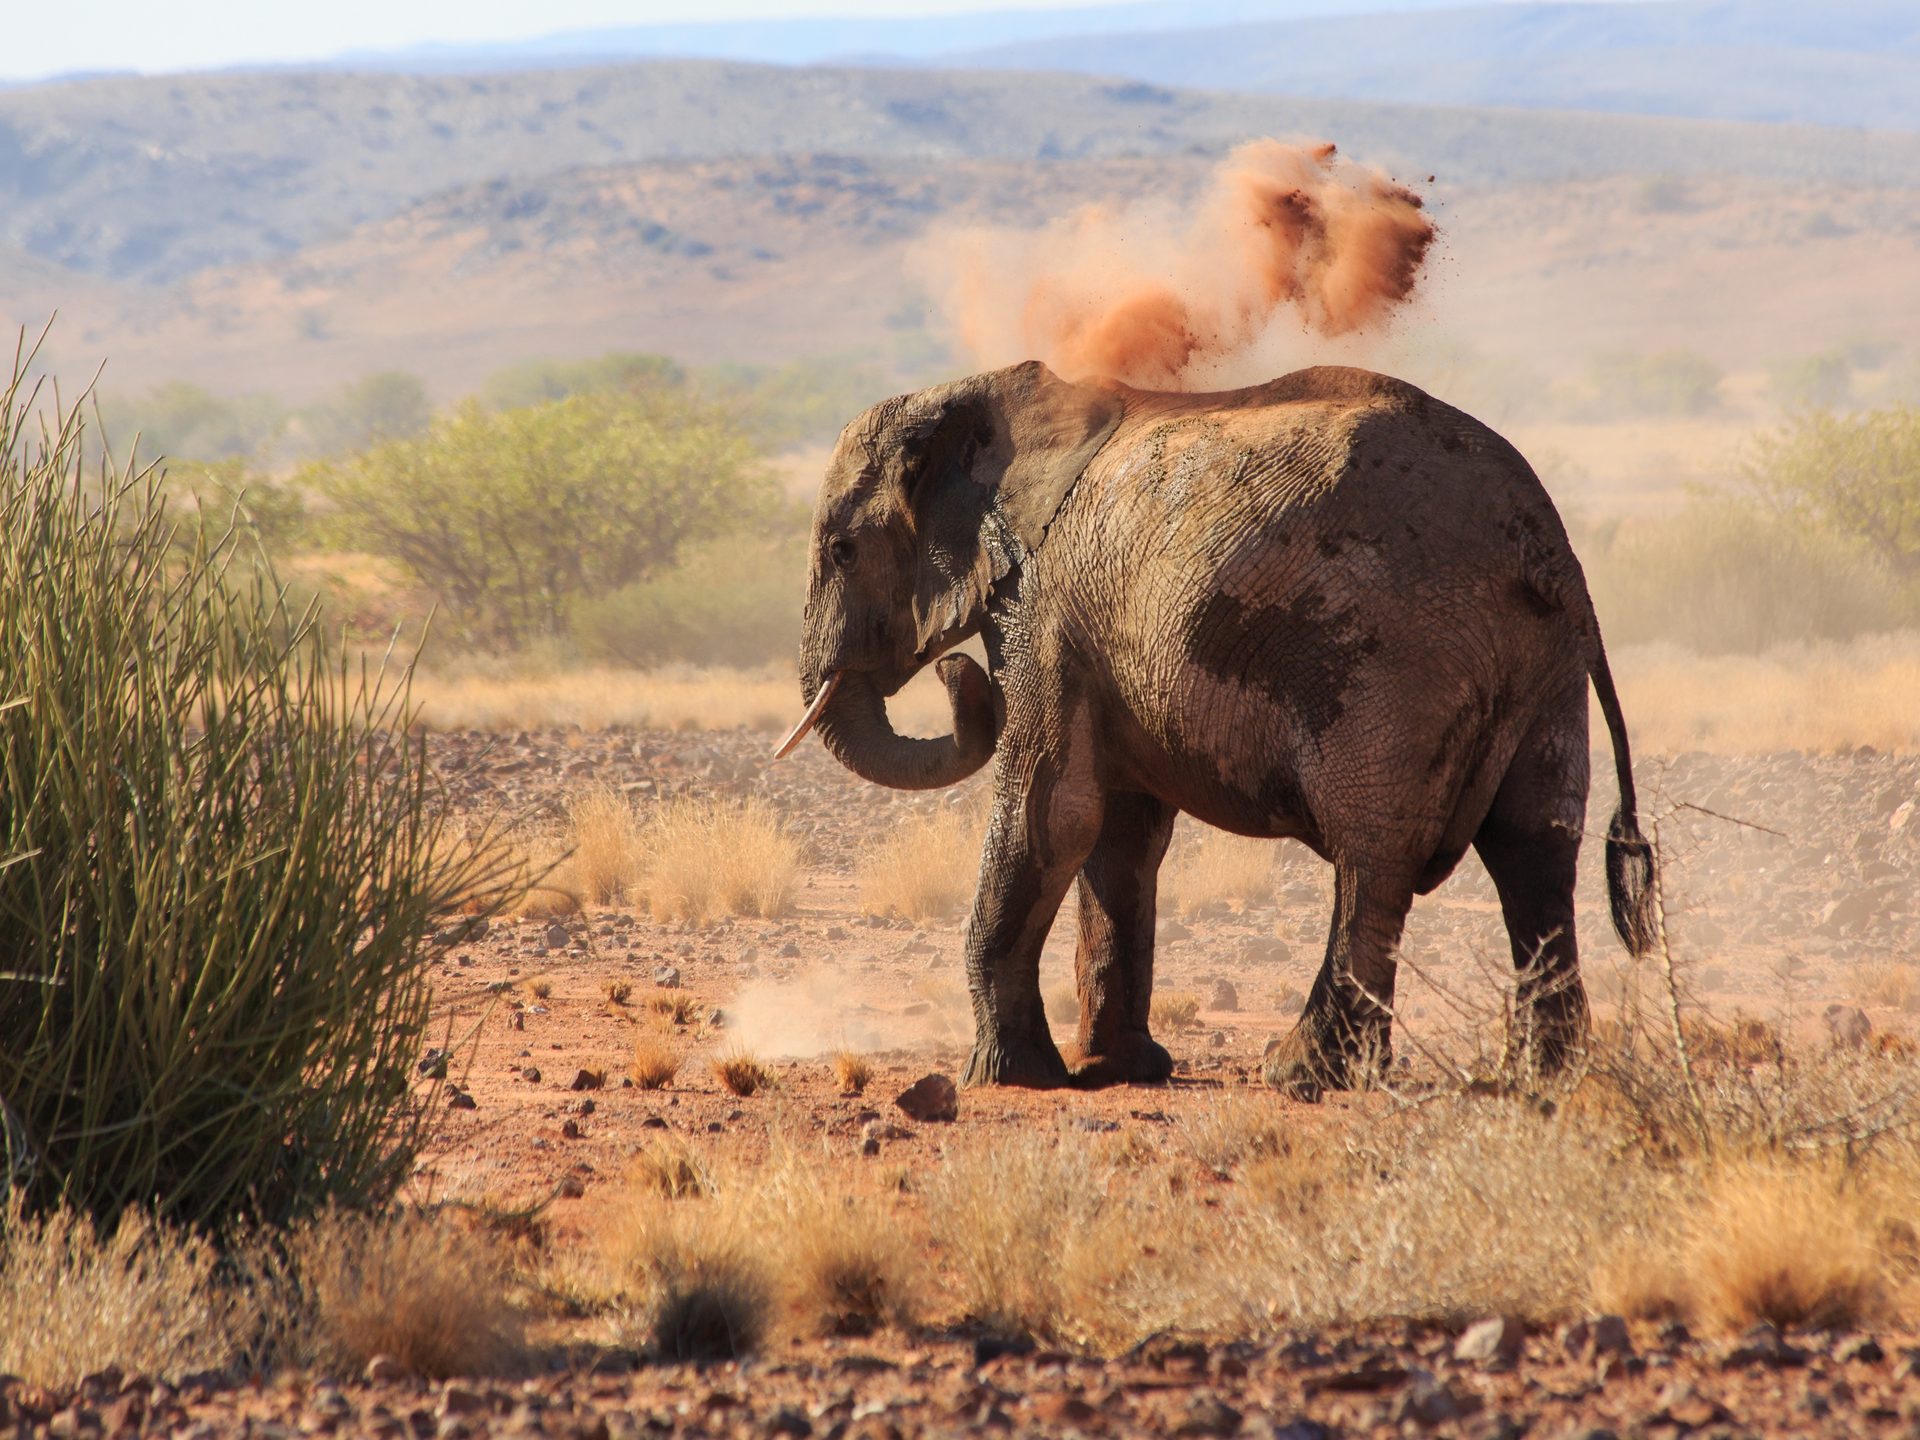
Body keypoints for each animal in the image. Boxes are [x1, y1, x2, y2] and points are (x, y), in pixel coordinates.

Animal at [779, 360, 1658, 1095]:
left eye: (842, 550)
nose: (955, 677)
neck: (977, 397)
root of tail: (1555, 554)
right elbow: (1121, 835)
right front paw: (1119, 1070)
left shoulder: (1045, 612)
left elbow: (1049, 817)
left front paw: (1012, 1078)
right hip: (1542, 672)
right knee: (1534, 853)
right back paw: (1537, 1078)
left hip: (1398, 662)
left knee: (1374, 857)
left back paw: (1303, 1076)